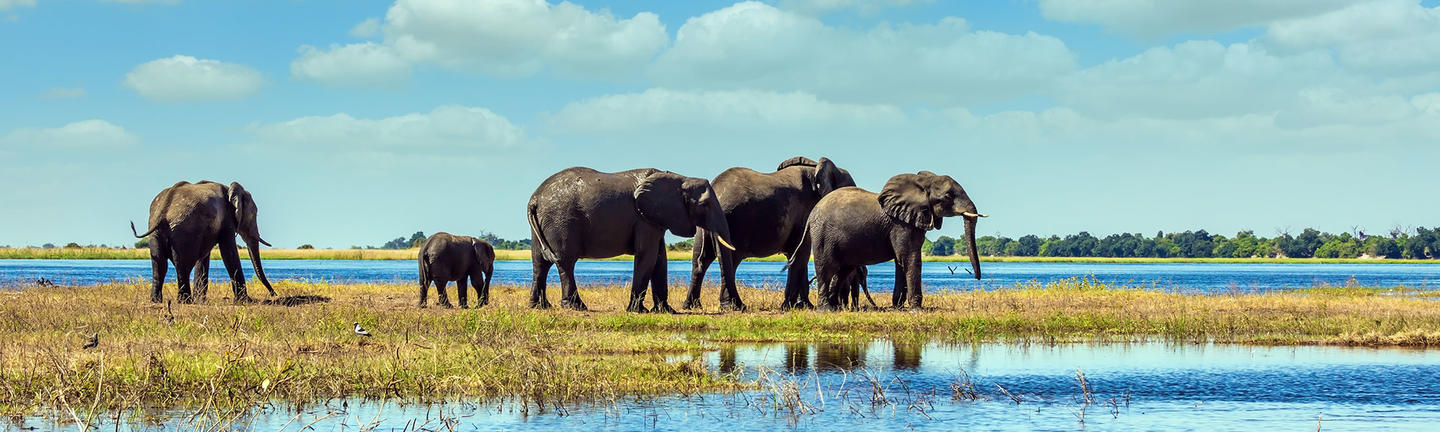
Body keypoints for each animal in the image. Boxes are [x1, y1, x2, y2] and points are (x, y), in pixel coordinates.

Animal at [130, 181, 275, 304]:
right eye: (254, 214)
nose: (273, 294)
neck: (230, 190)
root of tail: (163, 210)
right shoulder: (227, 219)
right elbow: (228, 252)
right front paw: (245, 301)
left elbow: (203, 258)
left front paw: (201, 301)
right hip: (184, 231)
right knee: (183, 264)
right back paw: (185, 301)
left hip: (156, 233)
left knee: (159, 264)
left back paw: (157, 301)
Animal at [527, 167, 736, 313]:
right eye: (705, 205)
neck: (680, 178)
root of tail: (534, 199)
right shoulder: (643, 219)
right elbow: (648, 257)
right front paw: (639, 311)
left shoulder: (654, 219)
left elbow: (660, 259)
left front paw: (666, 311)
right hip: (561, 222)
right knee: (565, 262)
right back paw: (576, 307)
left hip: (544, 224)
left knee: (540, 263)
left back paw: (540, 307)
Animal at [685, 156, 855, 311]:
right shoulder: (805, 213)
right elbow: (801, 254)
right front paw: (791, 307)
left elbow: (797, 254)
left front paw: (804, 306)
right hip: (735, 220)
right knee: (730, 261)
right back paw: (736, 307)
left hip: (705, 224)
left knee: (700, 261)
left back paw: (692, 306)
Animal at [795, 171, 985, 310]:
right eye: (947, 196)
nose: (977, 278)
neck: (922, 183)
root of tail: (812, 214)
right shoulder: (901, 224)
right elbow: (909, 258)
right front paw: (916, 309)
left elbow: (901, 261)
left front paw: (899, 308)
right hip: (823, 235)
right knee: (826, 268)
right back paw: (825, 309)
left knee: (843, 270)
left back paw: (836, 308)